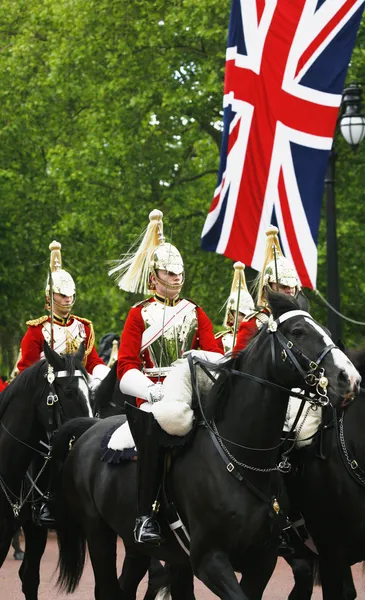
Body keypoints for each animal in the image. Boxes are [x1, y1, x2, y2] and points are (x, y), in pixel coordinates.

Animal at [52, 292, 358, 600]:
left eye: (327, 331)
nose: (349, 378)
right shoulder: (209, 560)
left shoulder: (262, 562)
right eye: (297, 332)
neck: (243, 459)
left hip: (137, 546)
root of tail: (91, 427)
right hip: (98, 534)